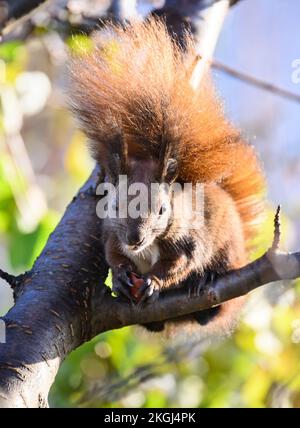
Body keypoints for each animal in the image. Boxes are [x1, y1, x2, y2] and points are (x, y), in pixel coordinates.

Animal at [68, 18, 264, 338]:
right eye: (114, 205)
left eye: (162, 210)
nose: (135, 239)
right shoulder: (110, 233)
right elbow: (112, 254)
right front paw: (121, 277)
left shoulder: (188, 240)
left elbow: (179, 264)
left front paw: (154, 281)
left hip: (229, 251)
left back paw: (205, 282)